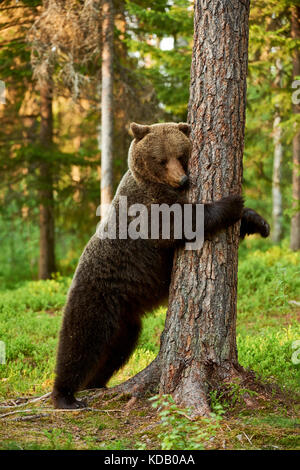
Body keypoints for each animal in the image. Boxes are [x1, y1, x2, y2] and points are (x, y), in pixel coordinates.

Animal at [51, 121, 270, 408]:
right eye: (161, 159)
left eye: (181, 155)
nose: (183, 179)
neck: (158, 184)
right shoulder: (146, 207)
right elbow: (179, 223)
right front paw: (231, 203)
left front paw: (258, 222)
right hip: (96, 294)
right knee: (79, 340)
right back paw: (65, 396)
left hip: (125, 317)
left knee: (116, 348)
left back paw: (95, 384)